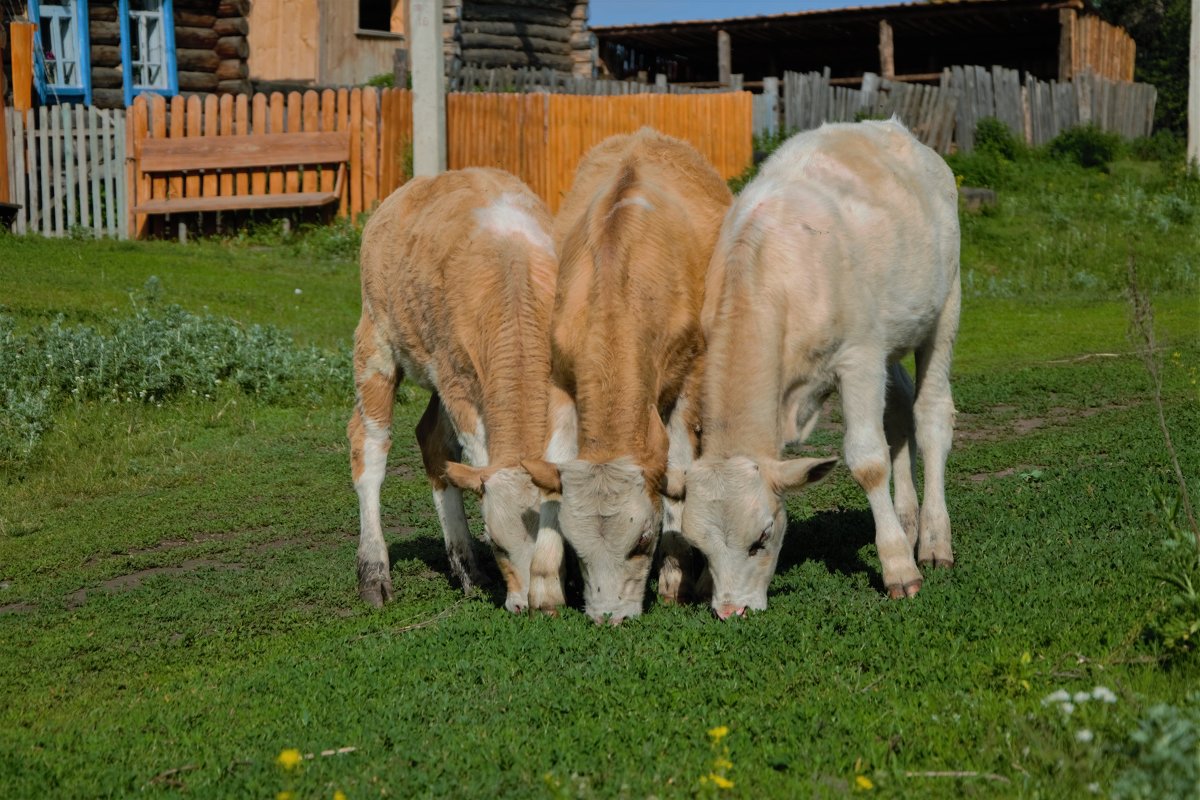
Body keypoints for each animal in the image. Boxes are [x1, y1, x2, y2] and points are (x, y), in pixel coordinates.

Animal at [350, 167, 568, 614]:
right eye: (498, 545)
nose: (521, 606)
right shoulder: (459, 389)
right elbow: (480, 458)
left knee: (432, 441)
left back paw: (466, 568)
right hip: (376, 341)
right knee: (369, 448)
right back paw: (374, 573)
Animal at [523, 128, 729, 623]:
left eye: (642, 543)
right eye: (577, 549)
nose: (608, 617)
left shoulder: (689, 379)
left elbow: (678, 469)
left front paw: (676, 576)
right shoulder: (559, 379)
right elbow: (552, 462)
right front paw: (545, 584)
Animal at [681, 120, 960, 618]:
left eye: (762, 537)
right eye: (699, 548)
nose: (732, 611)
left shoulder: (859, 358)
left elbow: (869, 461)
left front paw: (898, 570)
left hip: (945, 305)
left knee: (930, 415)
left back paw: (931, 540)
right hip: (893, 333)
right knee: (900, 415)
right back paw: (907, 522)